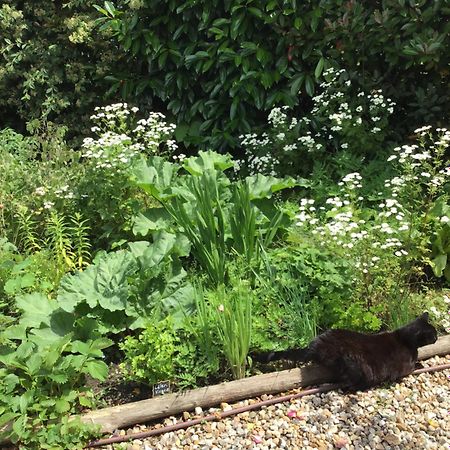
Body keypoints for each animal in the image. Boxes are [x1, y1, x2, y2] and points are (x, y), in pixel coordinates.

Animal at [255, 312, 438, 390]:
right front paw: (421, 365)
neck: (405, 338)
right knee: (350, 384)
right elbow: (412, 367)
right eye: (434, 335)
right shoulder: (405, 366)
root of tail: (315, 345)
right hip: (358, 366)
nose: (437, 338)